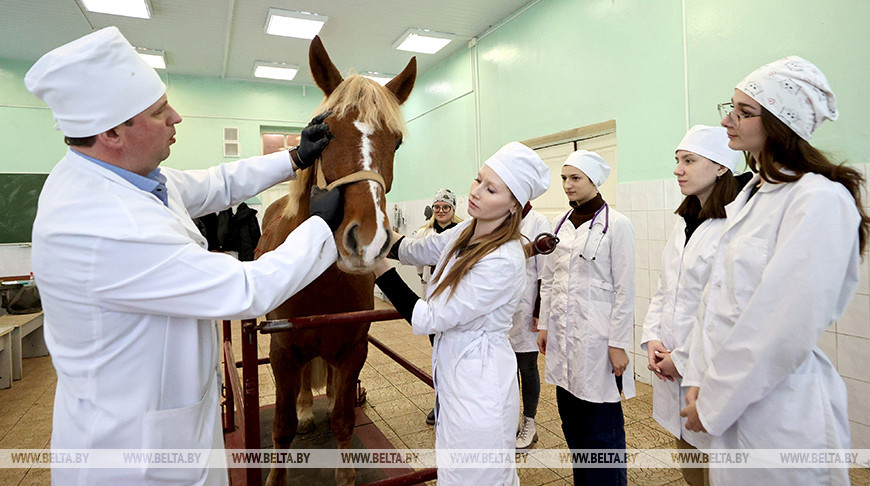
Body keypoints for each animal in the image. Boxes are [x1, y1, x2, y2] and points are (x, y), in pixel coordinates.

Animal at [255, 37, 418, 486]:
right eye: (324, 134)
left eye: (397, 142)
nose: (367, 240)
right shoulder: (282, 352)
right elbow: (282, 427)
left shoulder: (352, 349)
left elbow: (345, 419)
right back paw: (308, 408)